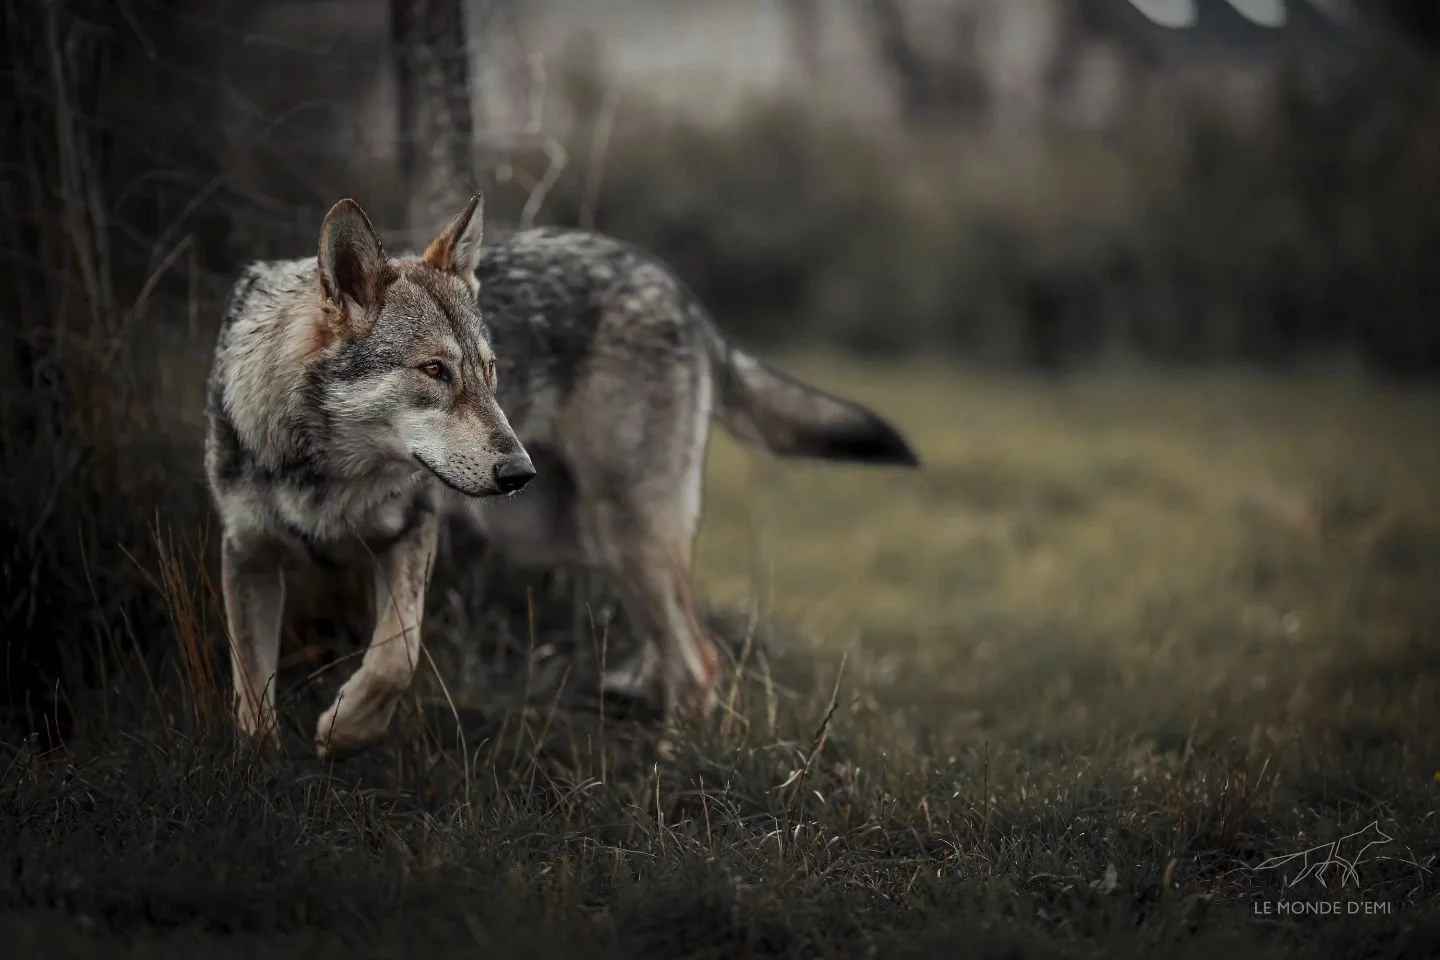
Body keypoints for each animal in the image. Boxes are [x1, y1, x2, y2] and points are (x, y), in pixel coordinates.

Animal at [206, 194, 919, 758]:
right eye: (435, 371)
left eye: (489, 371)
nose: (518, 469)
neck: (325, 470)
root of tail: (682, 294)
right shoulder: (247, 556)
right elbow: (251, 691)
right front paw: (261, 772)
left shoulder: (412, 532)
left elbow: (393, 659)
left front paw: (342, 730)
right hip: (572, 537)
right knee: (673, 642)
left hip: (621, 530)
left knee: (701, 660)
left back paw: (671, 765)